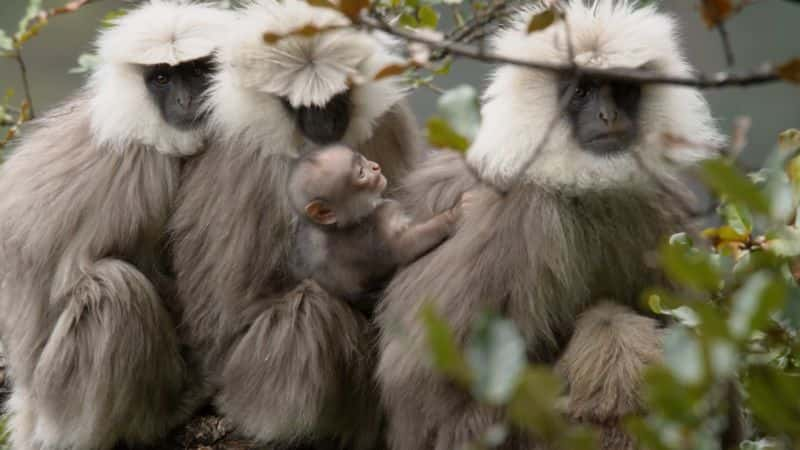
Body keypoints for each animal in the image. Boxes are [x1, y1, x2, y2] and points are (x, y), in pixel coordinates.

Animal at [0, 1, 233, 448]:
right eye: (161, 78)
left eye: (196, 70)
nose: (186, 98)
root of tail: (30, 411)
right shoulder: (145, 170)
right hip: (61, 396)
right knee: (113, 288)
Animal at [170, 0, 424, 446]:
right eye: (302, 106)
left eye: (337, 97)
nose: (325, 121)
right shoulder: (250, 155)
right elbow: (234, 307)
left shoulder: (387, 120)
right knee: (310, 308)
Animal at [288, 145, 462, 310]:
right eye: (360, 172)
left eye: (363, 159)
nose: (375, 167)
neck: (335, 227)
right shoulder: (379, 221)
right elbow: (403, 246)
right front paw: (452, 215)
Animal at [376, 2, 732, 450]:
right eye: (581, 92)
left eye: (620, 88)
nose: (608, 114)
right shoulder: (519, 215)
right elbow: (436, 403)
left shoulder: (656, 201)